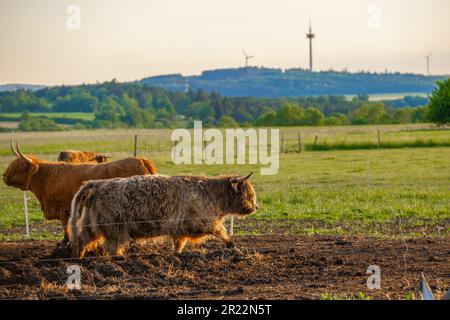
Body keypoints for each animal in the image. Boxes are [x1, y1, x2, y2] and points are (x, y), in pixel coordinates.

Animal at [67, 172, 256, 258]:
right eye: (248, 194)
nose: (255, 207)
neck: (211, 194)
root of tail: (96, 183)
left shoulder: (180, 229)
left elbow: (179, 244)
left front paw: (177, 255)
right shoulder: (204, 221)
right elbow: (221, 231)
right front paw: (232, 245)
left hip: (92, 225)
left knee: (82, 240)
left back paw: (79, 257)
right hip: (115, 228)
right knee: (113, 247)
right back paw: (119, 258)